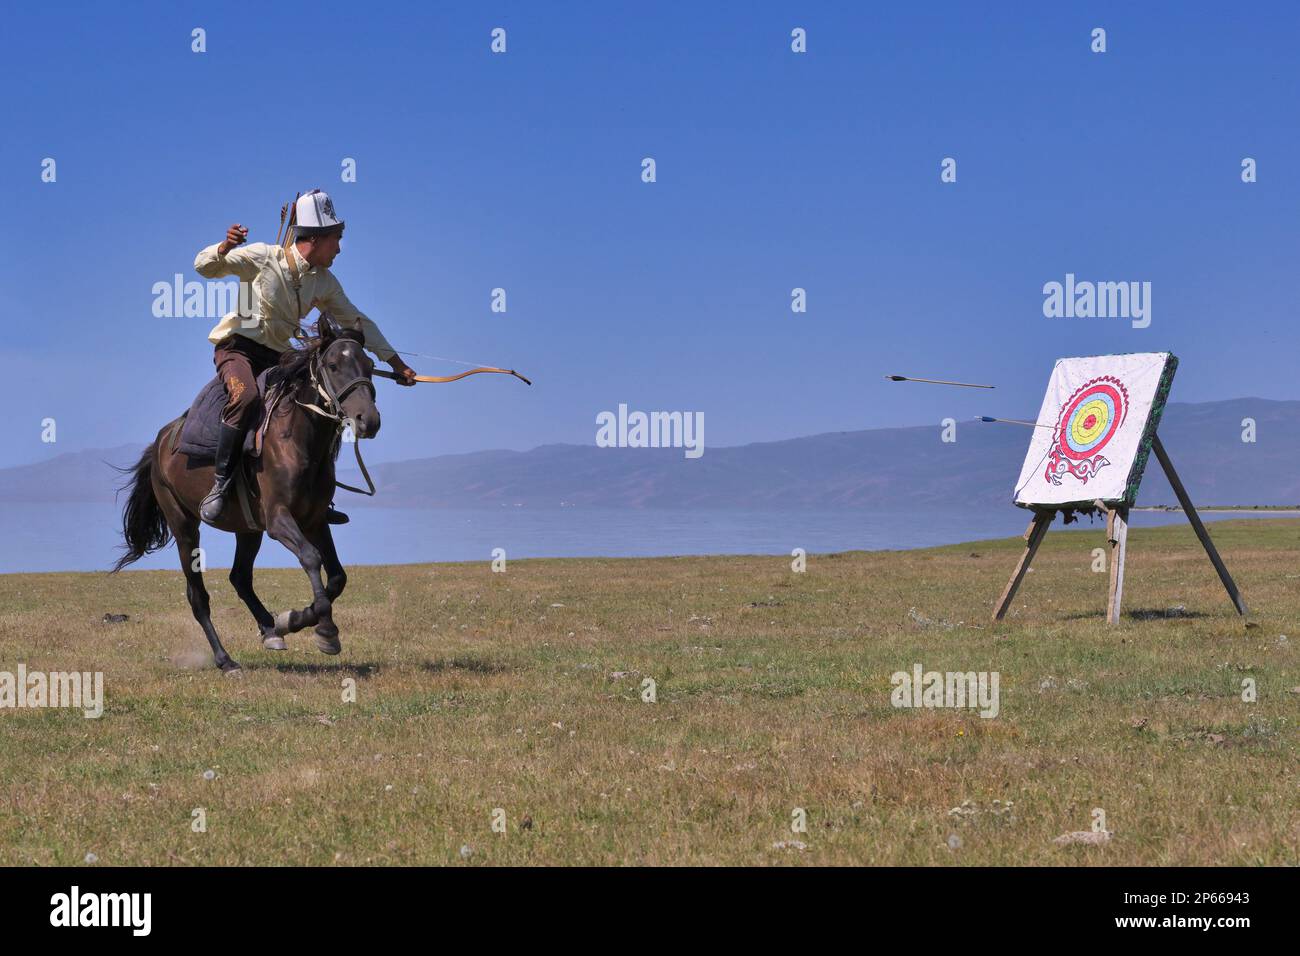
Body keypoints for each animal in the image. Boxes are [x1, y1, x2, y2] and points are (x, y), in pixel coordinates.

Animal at [113, 321, 379, 671]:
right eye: (333, 366)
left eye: (370, 365)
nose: (368, 420)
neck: (296, 440)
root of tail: (159, 444)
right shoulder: (280, 521)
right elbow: (311, 558)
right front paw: (325, 631)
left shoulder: (315, 521)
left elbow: (337, 576)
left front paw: (291, 620)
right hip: (185, 528)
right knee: (198, 597)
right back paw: (226, 660)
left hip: (248, 529)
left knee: (240, 577)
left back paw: (270, 629)